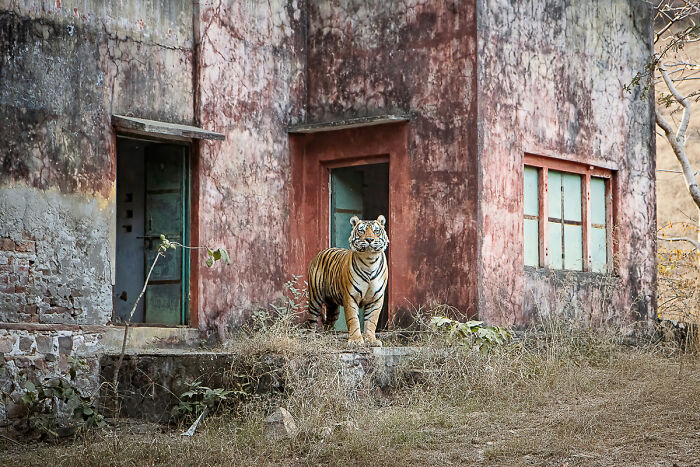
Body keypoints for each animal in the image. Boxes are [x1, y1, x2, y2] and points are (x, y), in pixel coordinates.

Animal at [306, 215, 389, 347]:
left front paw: (371, 340)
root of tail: (322, 251)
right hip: (315, 298)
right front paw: (356, 340)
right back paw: (311, 339)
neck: (370, 260)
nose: (369, 239)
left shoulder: (376, 299)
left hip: (333, 307)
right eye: (362, 231)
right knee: (312, 319)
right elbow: (353, 320)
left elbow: (371, 321)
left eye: (376, 231)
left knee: (329, 322)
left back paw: (329, 337)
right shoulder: (350, 297)